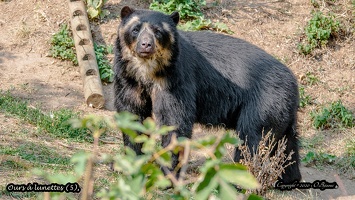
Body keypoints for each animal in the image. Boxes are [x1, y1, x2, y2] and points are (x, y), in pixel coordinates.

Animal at [114, 5, 304, 184]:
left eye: (158, 32)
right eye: (135, 29)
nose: (146, 45)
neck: (147, 70)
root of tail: (293, 82)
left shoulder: (176, 80)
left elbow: (174, 120)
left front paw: (168, 176)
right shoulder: (129, 80)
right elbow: (132, 116)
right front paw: (131, 164)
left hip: (263, 103)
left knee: (252, 139)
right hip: (280, 110)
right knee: (286, 145)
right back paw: (288, 178)